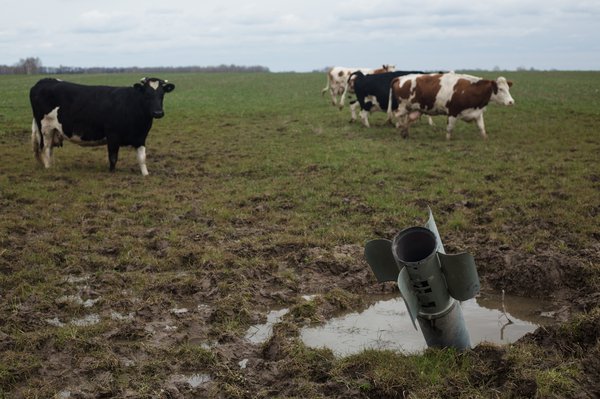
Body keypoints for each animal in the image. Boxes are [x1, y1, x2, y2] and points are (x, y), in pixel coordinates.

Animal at [29, 78, 175, 177]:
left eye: (162, 95)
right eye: (147, 94)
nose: (158, 112)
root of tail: (44, 81)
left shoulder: (140, 137)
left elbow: (142, 158)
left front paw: (145, 174)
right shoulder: (113, 136)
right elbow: (113, 157)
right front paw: (112, 172)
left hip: (53, 130)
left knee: (50, 150)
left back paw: (53, 166)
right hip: (46, 128)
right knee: (46, 148)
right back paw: (48, 168)